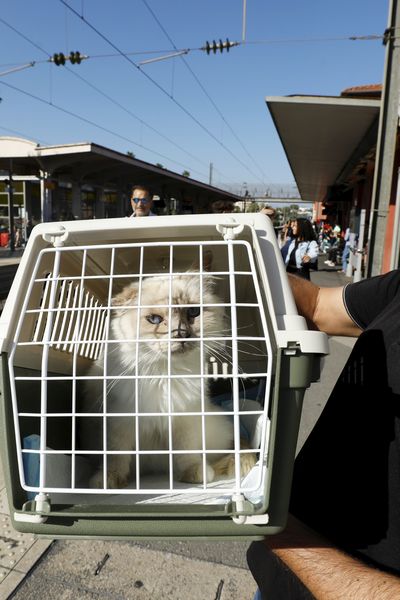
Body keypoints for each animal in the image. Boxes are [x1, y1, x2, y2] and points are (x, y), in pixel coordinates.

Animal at [0, 213, 328, 536]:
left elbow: (186, 455)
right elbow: (117, 459)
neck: (163, 374)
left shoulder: (184, 422)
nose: (181, 334)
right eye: (155, 320)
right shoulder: (120, 424)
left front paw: (193, 477)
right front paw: (110, 483)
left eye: (193, 313)